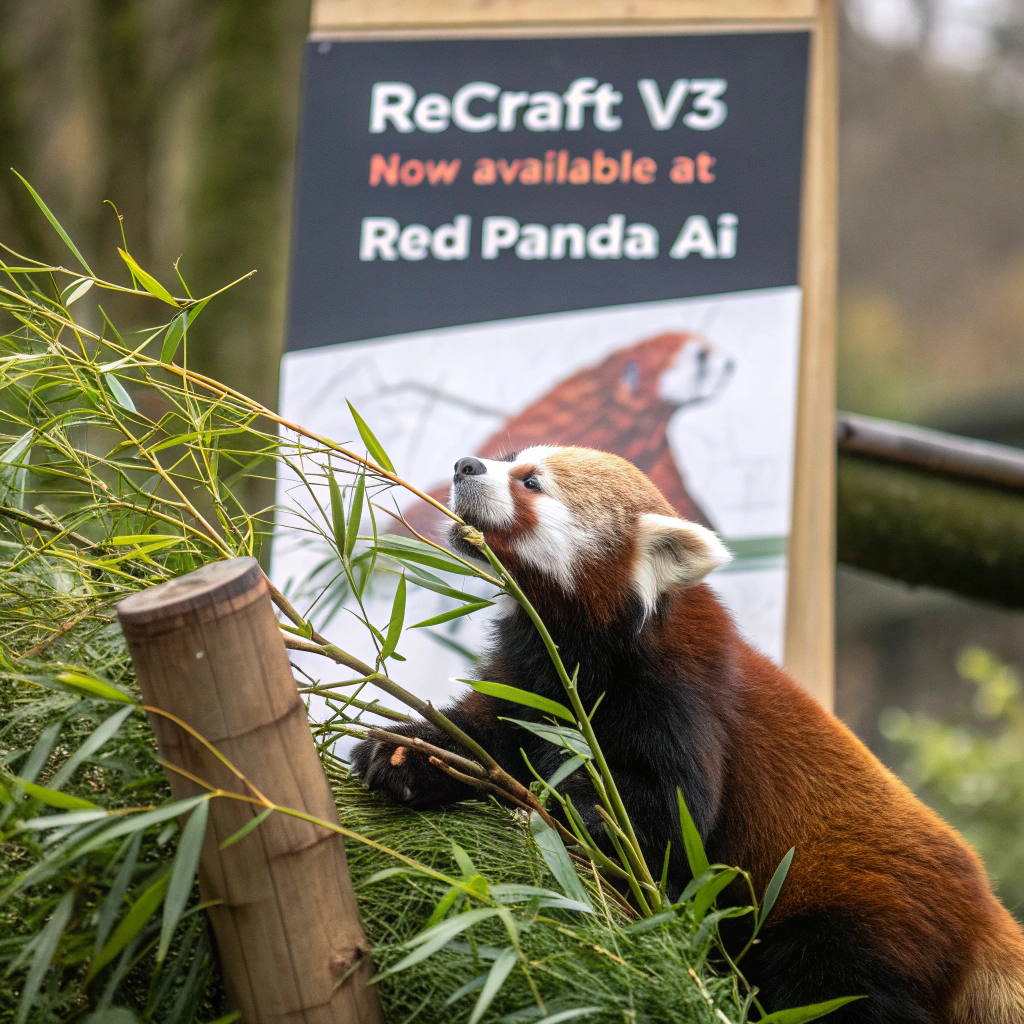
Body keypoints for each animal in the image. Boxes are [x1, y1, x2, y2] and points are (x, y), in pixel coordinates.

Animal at [352, 445, 1024, 1023]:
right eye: (510, 459)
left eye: (531, 482)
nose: (466, 465)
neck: (577, 646)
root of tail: (984, 914)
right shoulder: (526, 679)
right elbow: (483, 739)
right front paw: (403, 754)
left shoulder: (681, 699)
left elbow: (668, 819)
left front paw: (577, 811)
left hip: (862, 918)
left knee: (831, 989)